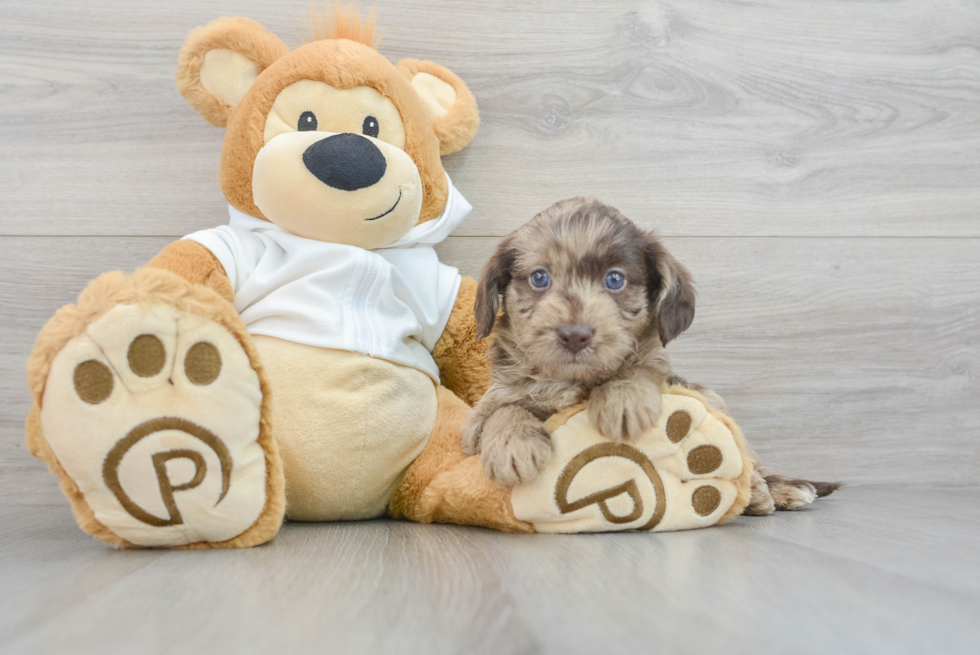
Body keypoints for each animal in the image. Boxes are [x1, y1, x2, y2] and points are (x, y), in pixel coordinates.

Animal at [464, 197, 840, 516]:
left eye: (615, 279)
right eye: (540, 277)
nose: (574, 335)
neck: (574, 380)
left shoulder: (664, 376)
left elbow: (642, 367)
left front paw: (623, 399)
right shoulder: (477, 422)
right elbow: (504, 409)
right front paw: (512, 444)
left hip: (712, 400)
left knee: (750, 459)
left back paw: (771, 489)